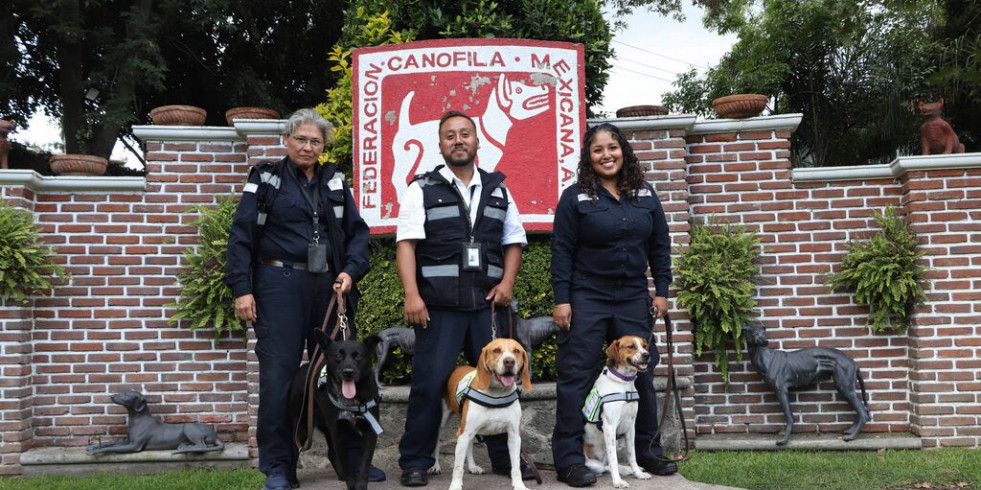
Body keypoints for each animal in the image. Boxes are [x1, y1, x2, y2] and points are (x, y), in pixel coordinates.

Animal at [85, 390, 224, 456]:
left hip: (189, 427)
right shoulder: (128, 441)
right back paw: (185, 446)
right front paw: (94, 446)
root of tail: (215, 435)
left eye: (126, 395)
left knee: (203, 446)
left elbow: (111, 448)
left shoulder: (134, 446)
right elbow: (109, 444)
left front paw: (95, 451)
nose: (112, 396)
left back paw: (188, 448)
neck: (138, 419)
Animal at [288, 330, 382, 490]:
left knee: (331, 452)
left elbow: (364, 466)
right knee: (295, 450)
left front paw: (361, 485)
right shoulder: (338, 432)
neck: (351, 399)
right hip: (302, 425)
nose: (348, 372)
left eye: (358, 356)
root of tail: (303, 368)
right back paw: (292, 480)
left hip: (326, 427)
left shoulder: (370, 431)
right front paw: (351, 485)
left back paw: (340, 474)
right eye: (338, 356)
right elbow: (348, 466)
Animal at [434, 338, 532, 490]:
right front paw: (455, 486)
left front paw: (519, 485)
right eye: (496, 350)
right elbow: (458, 467)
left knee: (469, 446)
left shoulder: (514, 435)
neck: (497, 394)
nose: (509, 361)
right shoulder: (463, 434)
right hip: (444, 422)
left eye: (516, 351)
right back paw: (435, 466)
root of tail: (457, 367)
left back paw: (473, 467)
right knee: (436, 444)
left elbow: (516, 466)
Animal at [580, 334, 652, 488]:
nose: (646, 355)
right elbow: (614, 459)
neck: (624, 383)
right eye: (631, 346)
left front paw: (638, 473)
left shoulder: (631, 427)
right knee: (607, 466)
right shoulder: (609, 427)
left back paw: (628, 470)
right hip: (593, 464)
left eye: (644, 346)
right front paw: (617, 481)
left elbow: (632, 455)